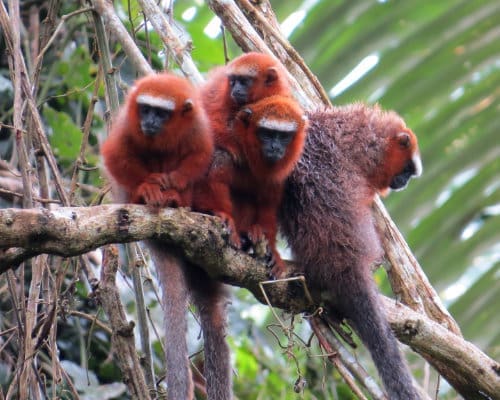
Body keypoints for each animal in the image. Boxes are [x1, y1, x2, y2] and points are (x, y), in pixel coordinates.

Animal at [102, 72, 234, 400]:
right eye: (146, 109)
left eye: (161, 113)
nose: (149, 121)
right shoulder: (127, 124)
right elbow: (114, 156)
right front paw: (148, 187)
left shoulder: (196, 126)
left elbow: (201, 155)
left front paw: (173, 182)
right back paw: (151, 195)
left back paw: (177, 199)